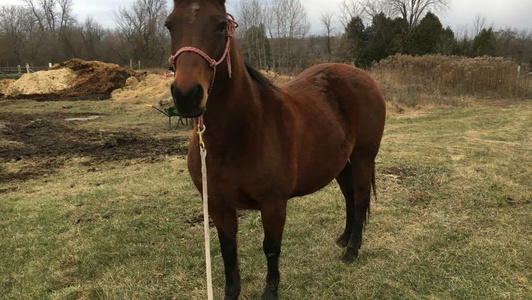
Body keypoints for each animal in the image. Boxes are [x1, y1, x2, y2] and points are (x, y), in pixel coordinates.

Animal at [164, 1, 384, 298]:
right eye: (169, 25)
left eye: (221, 25)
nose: (187, 96)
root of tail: (364, 77)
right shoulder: (218, 205)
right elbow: (228, 250)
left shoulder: (273, 204)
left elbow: (271, 248)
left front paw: (270, 291)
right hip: (340, 161)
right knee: (349, 196)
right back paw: (344, 238)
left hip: (363, 157)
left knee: (360, 199)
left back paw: (352, 250)